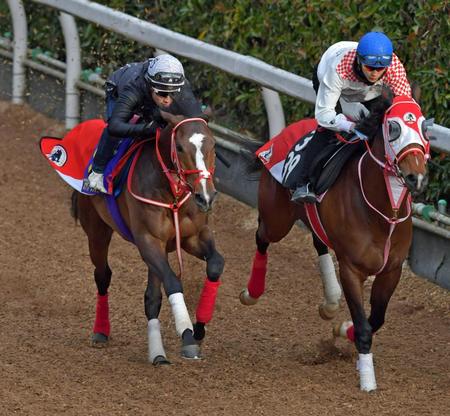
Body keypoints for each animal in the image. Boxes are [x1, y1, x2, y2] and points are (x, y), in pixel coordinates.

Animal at [72, 113, 225, 364]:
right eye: (179, 147)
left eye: (213, 145)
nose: (206, 196)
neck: (172, 194)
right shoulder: (148, 241)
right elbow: (172, 282)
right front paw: (187, 335)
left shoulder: (192, 237)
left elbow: (215, 264)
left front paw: (199, 328)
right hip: (97, 232)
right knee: (103, 276)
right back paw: (101, 331)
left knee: (152, 297)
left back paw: (158, 353)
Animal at [241, 93, 430, 390]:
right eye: (393, 128)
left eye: (424, 128)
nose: (416, 176)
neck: (383, 213)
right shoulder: (351, 269)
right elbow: (364, 327)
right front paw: (367, 381)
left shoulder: (391, 270)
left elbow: (376, 319)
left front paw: (342, 329)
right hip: (277, 220)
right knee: (261, 236)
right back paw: (252, 292)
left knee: (318, 241)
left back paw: (330, 303)